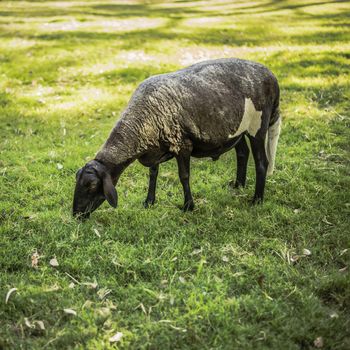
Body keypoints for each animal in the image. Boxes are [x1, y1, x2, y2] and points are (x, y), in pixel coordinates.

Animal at [72, 57, 280, 217]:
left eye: (91, 185)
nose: (76, 215)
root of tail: (270, 76)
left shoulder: (182, 145)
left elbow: (184, 176)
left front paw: (188, 206)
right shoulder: (154, 148)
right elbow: (153, 173)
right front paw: (149, 201)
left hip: (258, 126)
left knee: (262, 162)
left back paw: (257, 200)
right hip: (237, 129)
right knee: (242, 152)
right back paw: (238, 185)